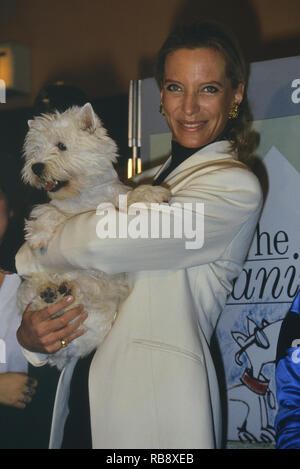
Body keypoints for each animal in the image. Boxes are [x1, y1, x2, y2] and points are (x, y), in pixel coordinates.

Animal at [18, 102, 169, 370]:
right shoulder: (56, 208)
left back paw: (63, 291)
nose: (36, 167)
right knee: (34, 294)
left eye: (61, 146)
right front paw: (38, 236)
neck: (82, 198)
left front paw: (151, 193)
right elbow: (47, 210)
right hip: (30, 291)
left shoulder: (115, 199)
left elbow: (130, 195)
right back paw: (51, 293)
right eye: (35, 150)